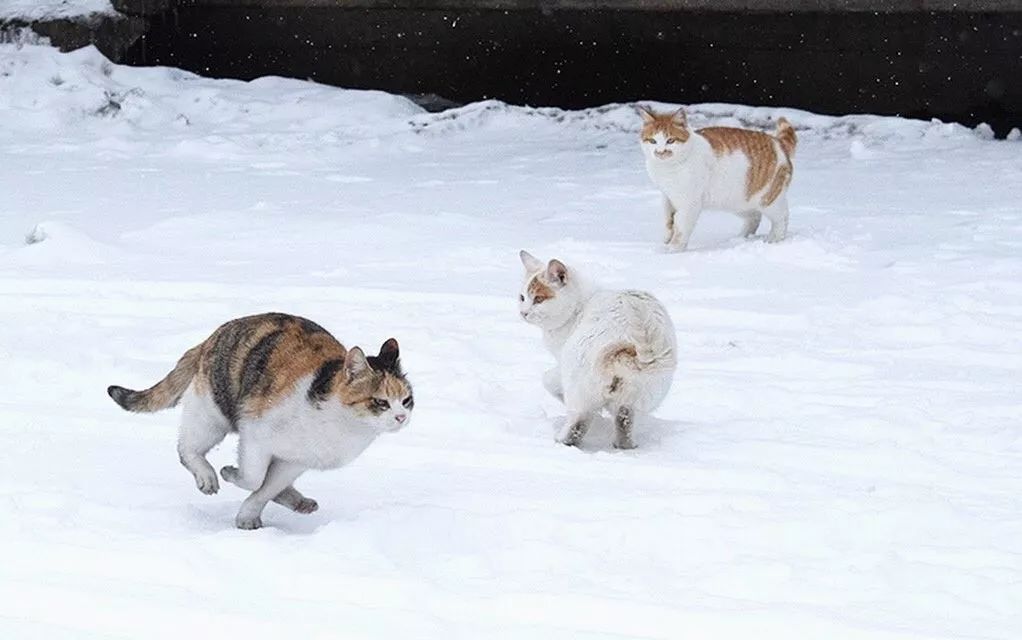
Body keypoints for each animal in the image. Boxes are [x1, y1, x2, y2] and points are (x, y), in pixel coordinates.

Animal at [109, 310, 412, 527]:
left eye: (407, 400)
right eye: (380, 402)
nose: (401, 417)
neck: (343, 427)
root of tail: (212, 337)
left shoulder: (295, 461)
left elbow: (266, 489)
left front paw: (248, 516)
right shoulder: (256, 434)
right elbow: (254, 479)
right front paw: (229, 473)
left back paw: (299, 502)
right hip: (211, 414)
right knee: (187, 449)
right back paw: (207, 476)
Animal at [519, 250, 678, 447]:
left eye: (538, 299)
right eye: (522, 297)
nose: (523, 312)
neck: (580, 305)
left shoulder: (562, 362)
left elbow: (548, 379)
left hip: (579, 383)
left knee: (578, 423)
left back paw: (561, 440)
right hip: (633, 400)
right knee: (624, 423)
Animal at [637, 104, 797, 249]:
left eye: (670, 140)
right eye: (653, 141)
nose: (660, 152)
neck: (667, 168)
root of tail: (778, 142)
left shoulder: (689, 203)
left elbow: (681, 228)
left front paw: (672, 250)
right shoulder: (668, 197)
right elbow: (668, 222)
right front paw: (666, 241)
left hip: (768, 200)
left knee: (782, 218)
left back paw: (774, 239)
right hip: (738, 201)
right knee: (755, 218)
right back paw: (739, 239)